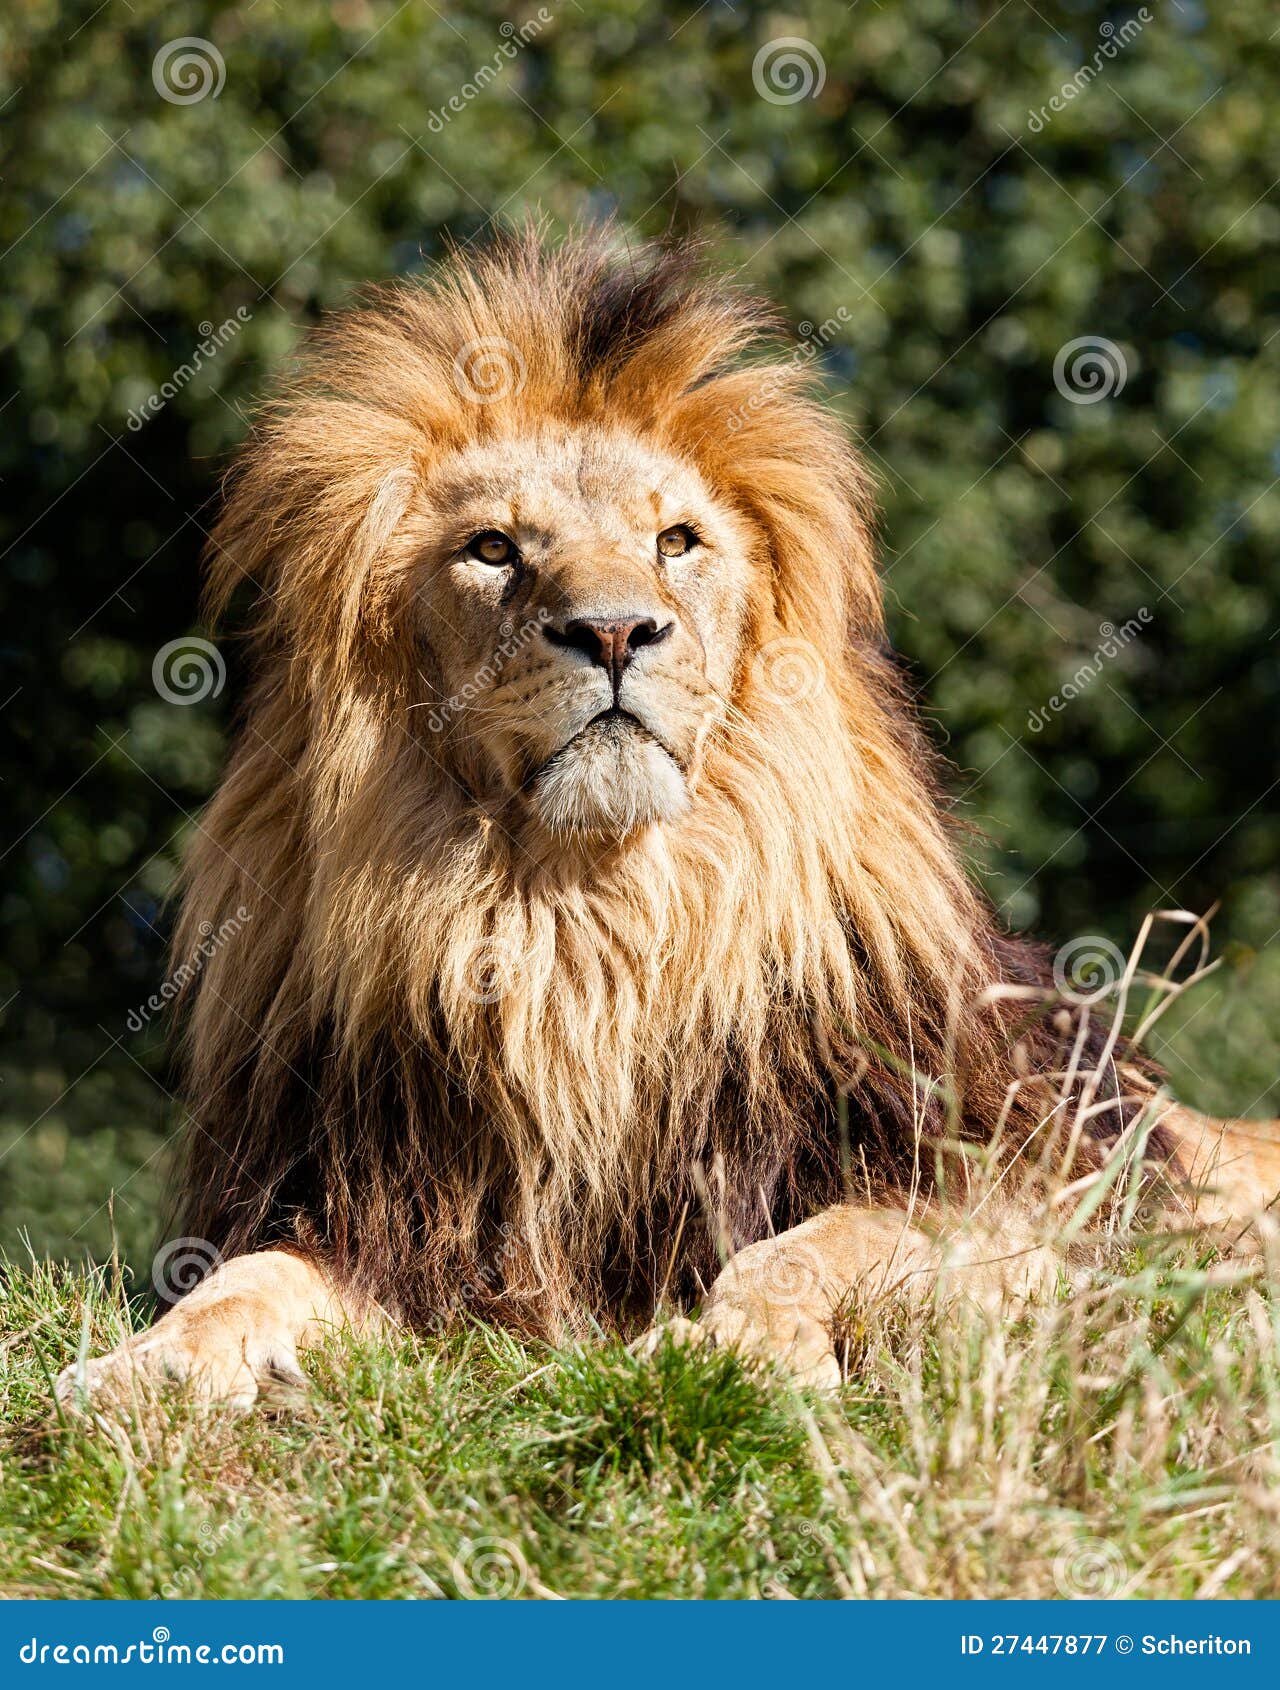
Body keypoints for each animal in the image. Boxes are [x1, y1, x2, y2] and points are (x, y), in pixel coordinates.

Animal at [57, 228, 1278, 1412]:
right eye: (494, 549)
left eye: (676, 542)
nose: (611, 631)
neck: (587, 929)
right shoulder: (385, 1217)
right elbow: (249, 1272)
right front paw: (151, 1361)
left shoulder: (1017, 1193)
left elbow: (814, 1241)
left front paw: (728, 1349)